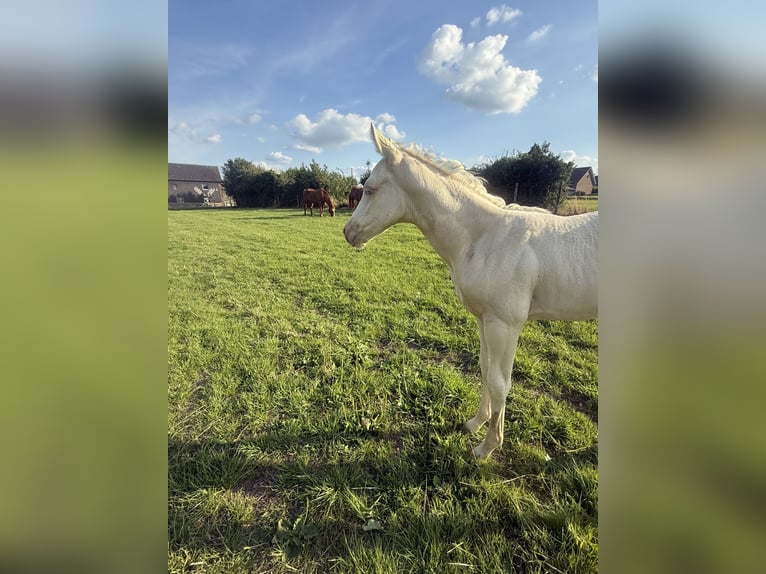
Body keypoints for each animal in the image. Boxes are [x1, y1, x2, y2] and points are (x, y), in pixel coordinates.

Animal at [343, 125, 597, 460]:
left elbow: (500, 382)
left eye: (370, 189)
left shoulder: (505, 324)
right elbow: (485, 369)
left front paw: (487, 447)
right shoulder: (483, 319)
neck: (484, 238)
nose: (348, 232)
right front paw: (476, 422)